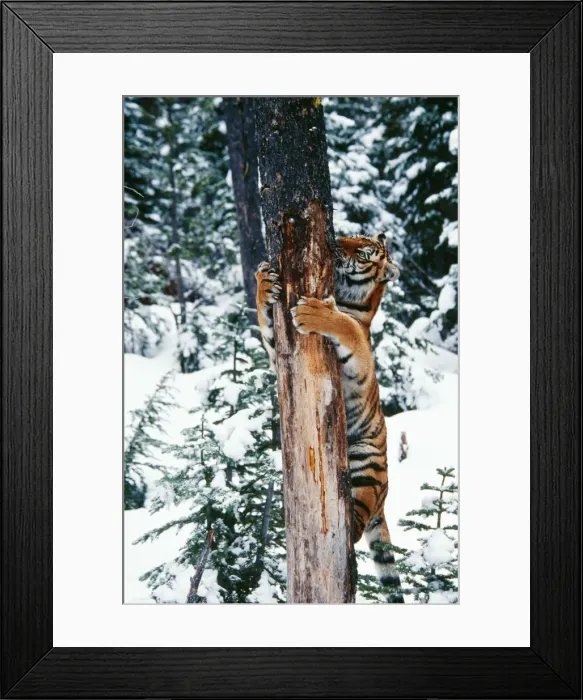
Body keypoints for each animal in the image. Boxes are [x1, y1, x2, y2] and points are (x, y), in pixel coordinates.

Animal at [255, 232, 404, 603]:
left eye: (364, 252)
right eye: (356, 235)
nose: (337, 240)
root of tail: (383, 501)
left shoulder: (360, 359)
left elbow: (345, 325)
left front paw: (313, 311)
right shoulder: (277, 353)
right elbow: (264, 322)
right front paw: (264, 280)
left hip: (367, 467)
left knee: (353, 532)